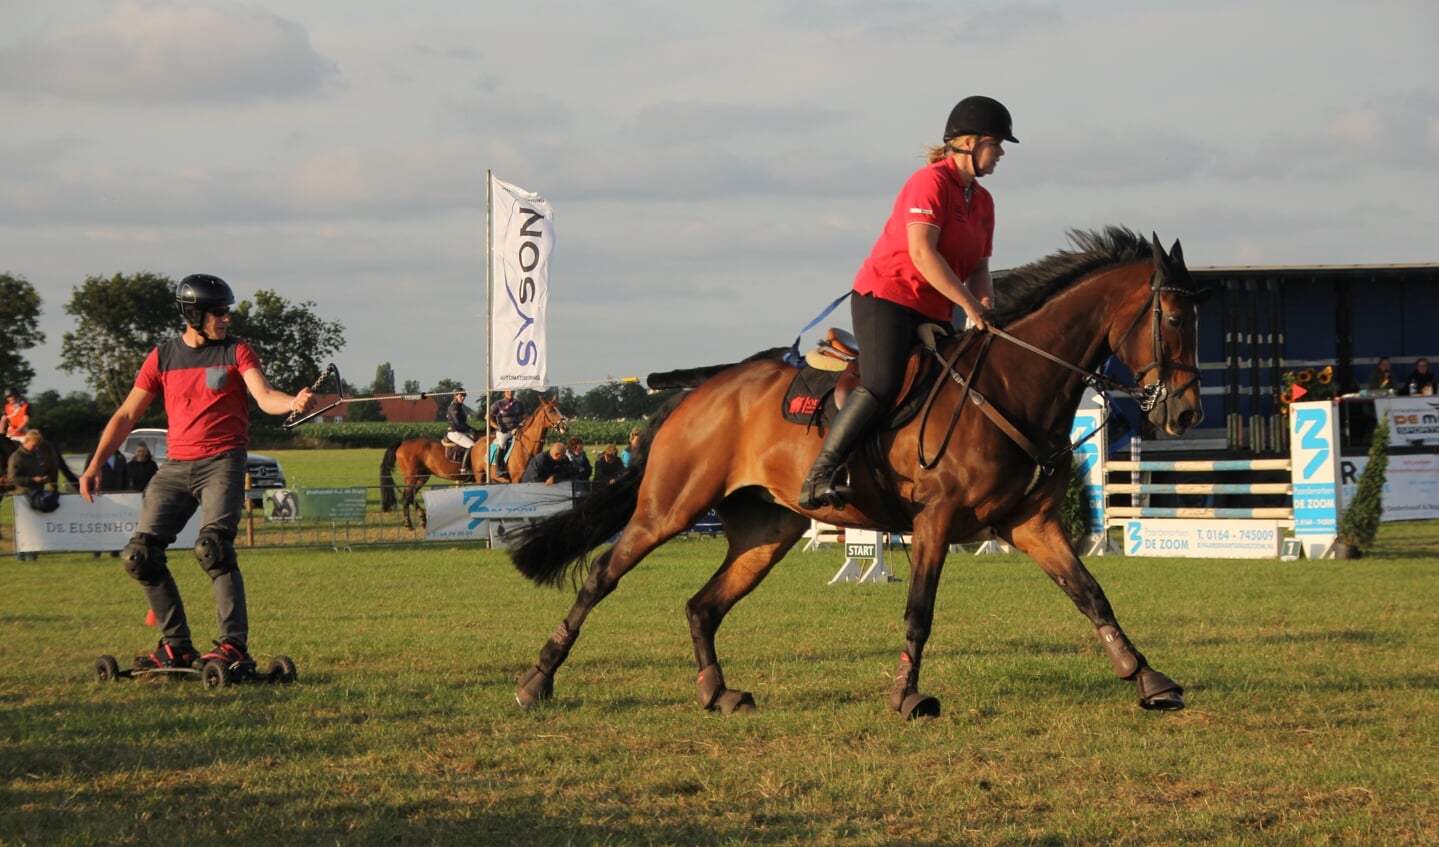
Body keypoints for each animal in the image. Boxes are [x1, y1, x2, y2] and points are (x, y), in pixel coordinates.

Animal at [379, 396, 569, 529]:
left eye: (558, 409)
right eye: (551, 410)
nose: (565, 426)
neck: (525, 446)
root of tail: (402, 443)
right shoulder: (516, 480)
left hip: (421, 477)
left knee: (410, 496)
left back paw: (422, 519)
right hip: (412, 477)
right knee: (406, 497)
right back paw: (409, 523)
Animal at [512, 227, 1208, 716]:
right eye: (1174, 319)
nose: (1185, 412)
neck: (1012, 384)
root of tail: (700, 392)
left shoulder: (1032, 524)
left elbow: (1091, 594)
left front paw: (1149, 680)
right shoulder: (936, 518)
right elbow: (919, 610)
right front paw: (908, 695)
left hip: (767, 530)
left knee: (703, 605)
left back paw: (718, 691)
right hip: (671, 508)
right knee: (602, 575)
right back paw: (537, 678)